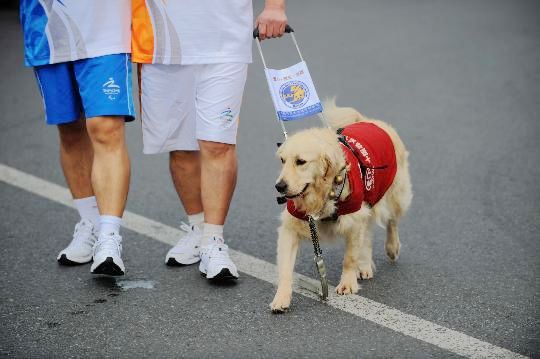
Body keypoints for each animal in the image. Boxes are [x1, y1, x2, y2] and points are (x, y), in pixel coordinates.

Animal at [270, 100, 414, 312]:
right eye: (282, 160)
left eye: (301, 161)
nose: (279, 186)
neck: (322, 194)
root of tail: (369, 121)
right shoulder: (291, 227)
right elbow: (285, 268)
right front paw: (281, 298)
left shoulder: (354, 220)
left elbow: (349, 258)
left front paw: (347, 284)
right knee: (368, 235)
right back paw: (365, 266)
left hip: (394, 194)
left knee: (391, 221)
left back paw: (392, 248)